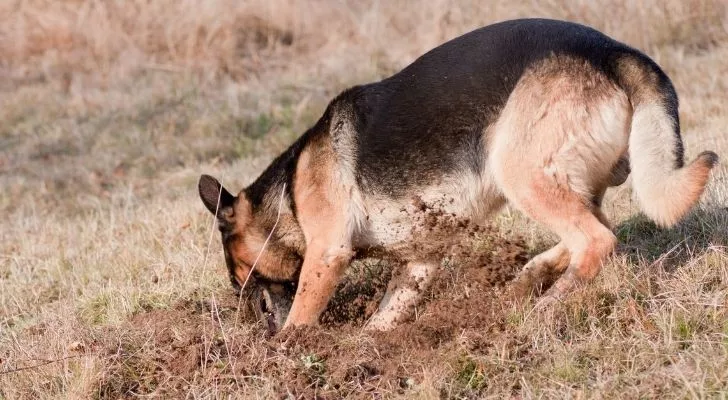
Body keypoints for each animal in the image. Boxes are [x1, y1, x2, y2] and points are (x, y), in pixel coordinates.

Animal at [198, 18, 716, 332]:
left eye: (236, 273)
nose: (248, 323)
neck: (288, 193)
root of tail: (614, 53)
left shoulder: (327, 255)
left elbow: (301, 317)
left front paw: (289, 356)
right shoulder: (419, 262)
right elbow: (382, 320)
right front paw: (362, 352)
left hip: (518, 172)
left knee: (597, 240)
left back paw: (548, 303)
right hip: (563, 181)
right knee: (595, 229)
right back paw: (529, 278)